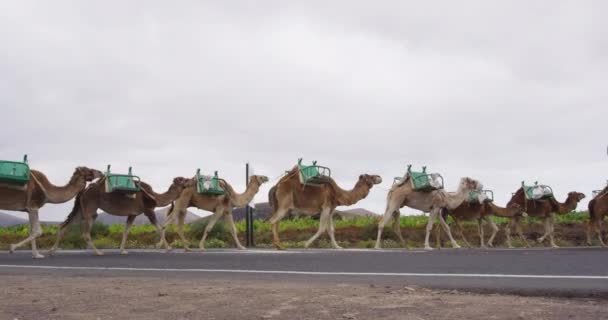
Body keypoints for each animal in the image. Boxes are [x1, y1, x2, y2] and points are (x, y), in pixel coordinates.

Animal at [50, 175, 190, 255]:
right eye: (183, 179)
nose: (191, 180)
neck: (154, 196)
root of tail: (84, 190)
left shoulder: (132, 214)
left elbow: (126, 231)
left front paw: (123, 250)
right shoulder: (148, 210)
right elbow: (160, 228)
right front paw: (168, 248)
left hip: (81, 208)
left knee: (64, 225)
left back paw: (52, 251)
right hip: (90, 207)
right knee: (85, 231)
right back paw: (98, 252)